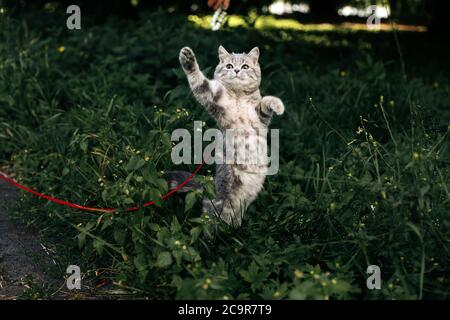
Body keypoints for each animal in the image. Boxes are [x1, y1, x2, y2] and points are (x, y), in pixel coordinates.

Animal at [171, 46, 284, 226]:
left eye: (245, 67)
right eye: (229, 66)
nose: (237, 70)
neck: (238, 95)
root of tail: (209, 185)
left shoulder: (260, 119)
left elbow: (266, 102)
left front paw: (278, 105)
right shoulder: (212, 98)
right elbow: (199, 81)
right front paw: (188, 60)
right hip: (220, 205)